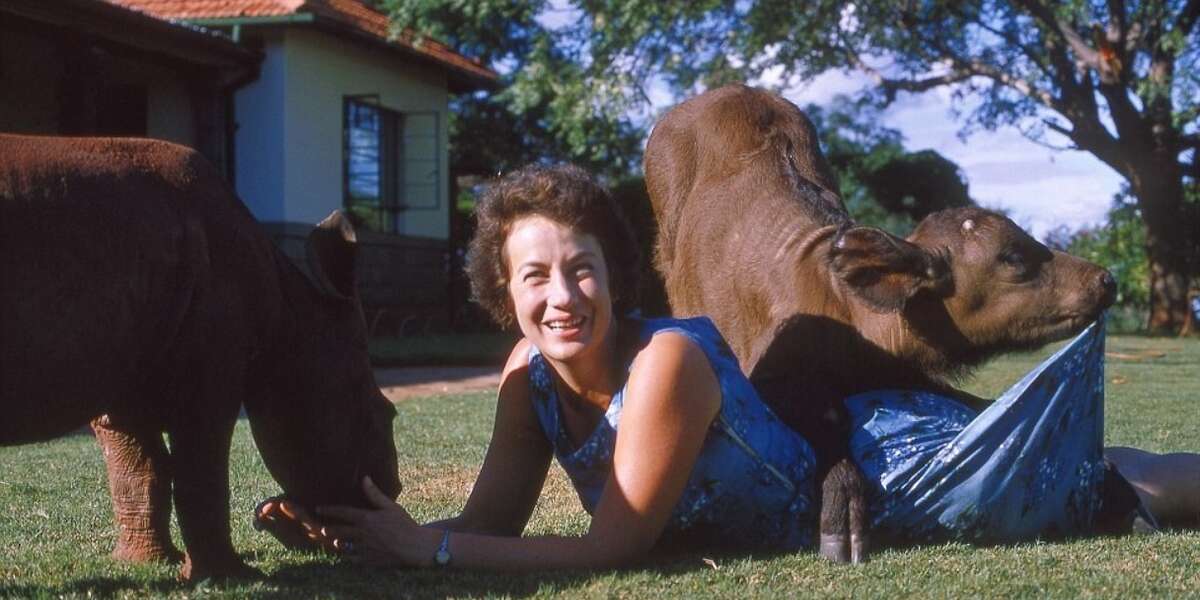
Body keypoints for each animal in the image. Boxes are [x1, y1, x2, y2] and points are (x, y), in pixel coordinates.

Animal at [0, 132, 403, 580]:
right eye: (384, 415)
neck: (290, 317)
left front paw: (147, 563)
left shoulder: (127, 351)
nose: (393, 489)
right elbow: (201, 466)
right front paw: (231, 576)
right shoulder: (209, 356)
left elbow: (138, 467)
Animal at [648, 87, 1113, 564]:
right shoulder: (767, 374)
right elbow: (830, 417)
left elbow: (971, 402)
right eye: (1014, 257)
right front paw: (842, 517)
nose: (1105, 280)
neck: (850, 321)